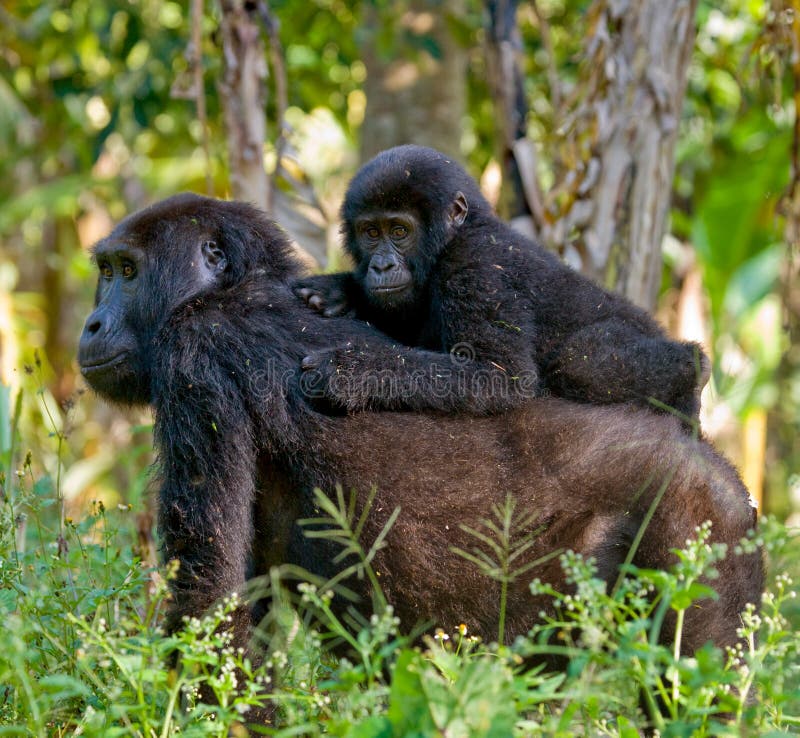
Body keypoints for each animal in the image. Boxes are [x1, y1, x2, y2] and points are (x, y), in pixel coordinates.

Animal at [79, 191, 764, 724]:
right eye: (105, 270)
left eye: (126, 271)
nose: (89, 325)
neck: (238, 284)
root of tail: (727, 477)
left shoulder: (194, 352)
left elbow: (208, 594)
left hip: (695, 521)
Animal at [296, 142, 708, 426]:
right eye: (370, 232)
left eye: (399, 231)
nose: (381, 266)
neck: (458, 234)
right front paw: (339, 290)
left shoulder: (474, 268)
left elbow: (497, 376)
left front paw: (345, 372)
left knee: (579, 360)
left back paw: (692, 374)